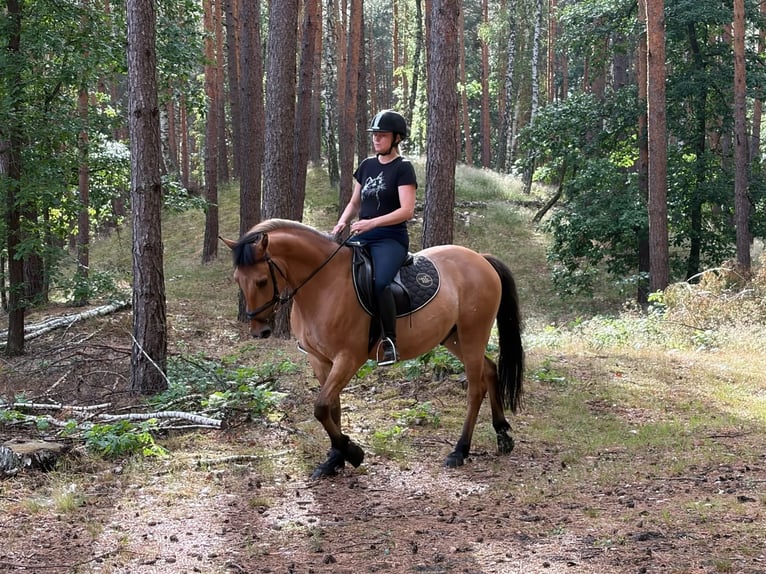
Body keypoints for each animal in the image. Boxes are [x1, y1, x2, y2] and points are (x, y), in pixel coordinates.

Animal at [221, 219, 524, 479]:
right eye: (236, 279)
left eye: (261, 281)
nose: (260, 331)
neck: (324, 285)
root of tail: (480, 258)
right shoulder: (320, 360)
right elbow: (332, 407)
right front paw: (335, 459)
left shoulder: (348, 358)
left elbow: (321, 407)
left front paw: (353, 452)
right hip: (453, 337)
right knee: (489, 370)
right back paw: (502, 435)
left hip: (473, 332)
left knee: (475, 387)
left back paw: (460, 450)